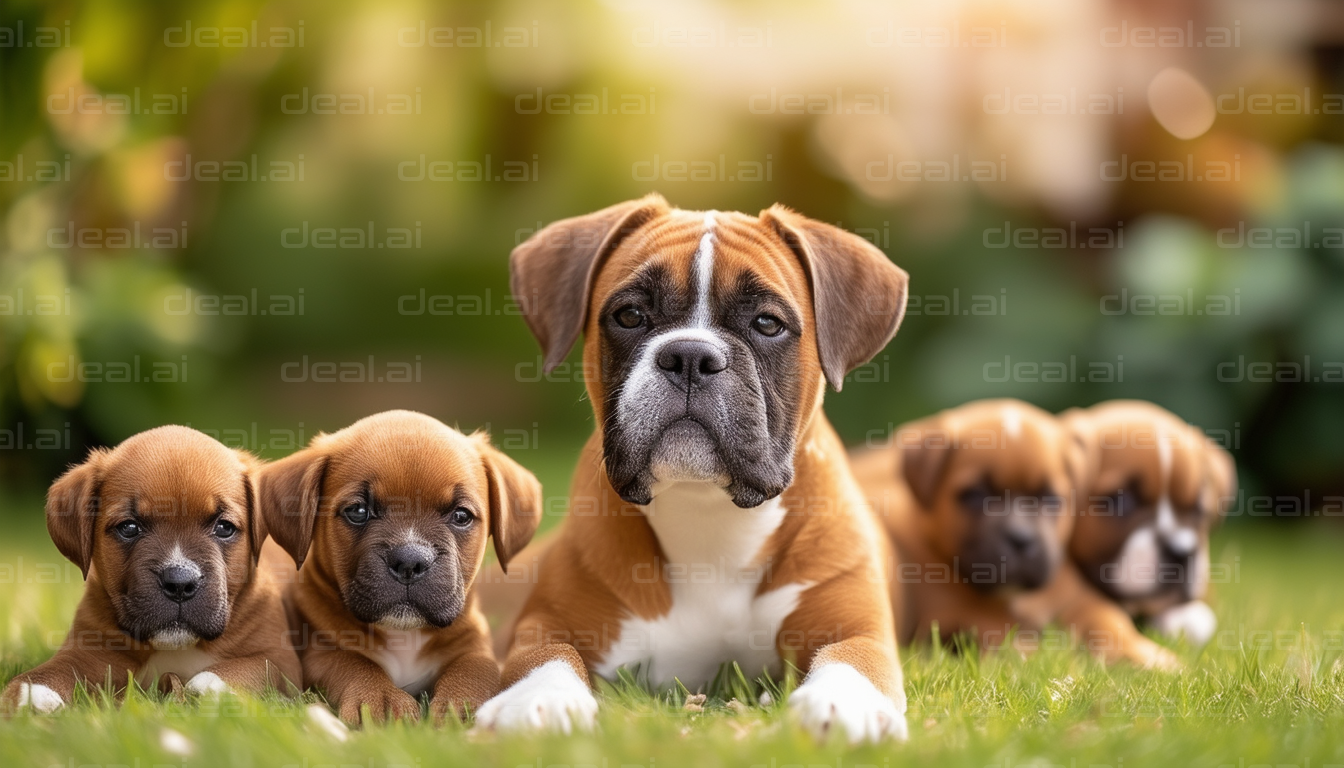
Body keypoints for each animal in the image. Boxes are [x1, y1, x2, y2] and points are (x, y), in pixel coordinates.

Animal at [0, 427, 299, 715]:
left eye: (224, 527)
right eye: (129, 528)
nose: (179, 583)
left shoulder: (282, 659)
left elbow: (251, 668)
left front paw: (210, 687)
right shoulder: (89, 649)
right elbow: (62, 667)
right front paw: (32, 691)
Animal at [256, 411, 540, 726]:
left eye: (461, 516)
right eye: (358, 511)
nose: (410, 561)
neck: (405, 636)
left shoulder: (474, 646)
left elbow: (475, 670)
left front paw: (464, 705)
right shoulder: (321, 652)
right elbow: (354, 664)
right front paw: (379, 699)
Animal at [478, 193, 908, 747]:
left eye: (767, 324)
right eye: (630, 315)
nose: (689, 355)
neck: (707, 514)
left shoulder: (855, 627)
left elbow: (854, 658)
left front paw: (844, 703)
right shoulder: (550, 620)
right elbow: (543, 656)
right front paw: (536, 700)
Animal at [849, 400, 1177, 669]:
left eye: (1050, 497)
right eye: (975, 494)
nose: (1020, 539)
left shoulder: (1079, 601)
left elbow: (1112, 624)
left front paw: (1147, 657)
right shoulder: (955, 614)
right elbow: (1001, 628)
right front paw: (1034, 657)